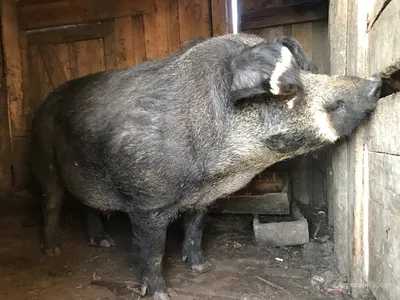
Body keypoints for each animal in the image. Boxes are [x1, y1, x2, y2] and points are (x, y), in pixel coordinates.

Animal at [28, 33, 382, 300]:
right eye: (289, 86)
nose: (375, 83)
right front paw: (161, 294)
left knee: (87, 204)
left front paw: (202, 268)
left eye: (310, 70)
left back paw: (103, 242)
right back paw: (53, 251)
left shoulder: (203, 199)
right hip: (43, 157)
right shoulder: (146, 201)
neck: (215, 174)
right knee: (52, 201)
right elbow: (152, 249)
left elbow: (195, 229)